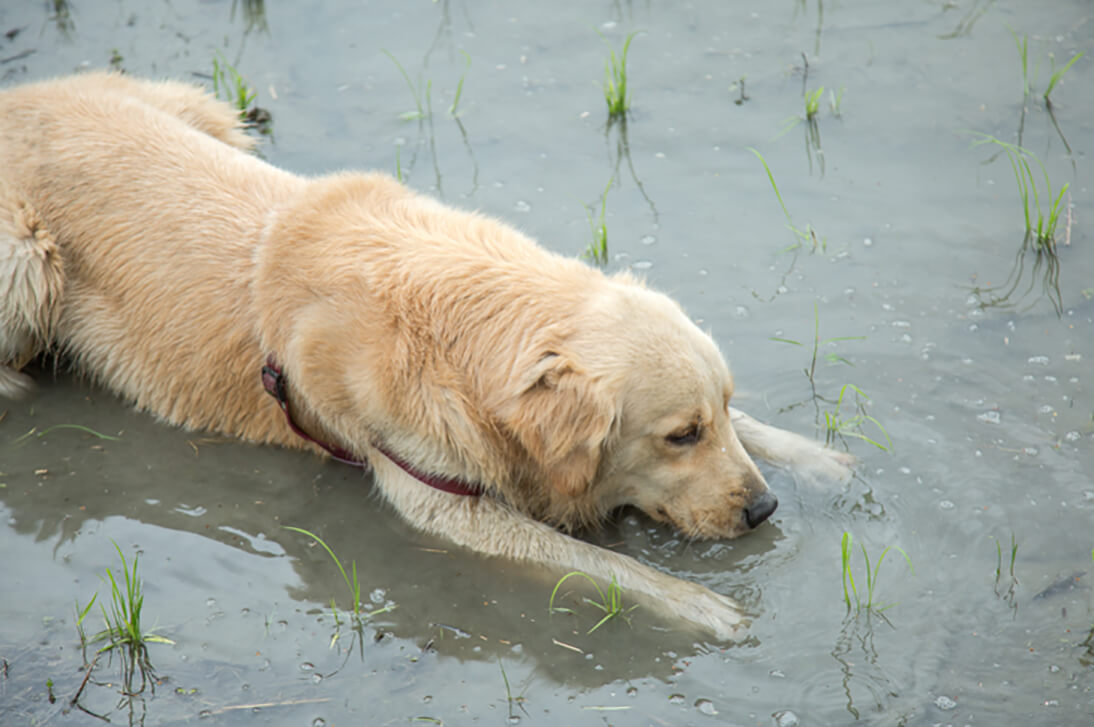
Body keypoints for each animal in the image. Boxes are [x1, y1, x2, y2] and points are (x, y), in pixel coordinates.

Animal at [0, 73, 853, 638]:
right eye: (680, 435)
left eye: (722, 413)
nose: (764, 509)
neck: (464, 333)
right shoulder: (439, 496)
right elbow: (603, 565)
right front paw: (703, 606)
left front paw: (821, 458)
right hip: (28, 262)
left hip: (203, 110)